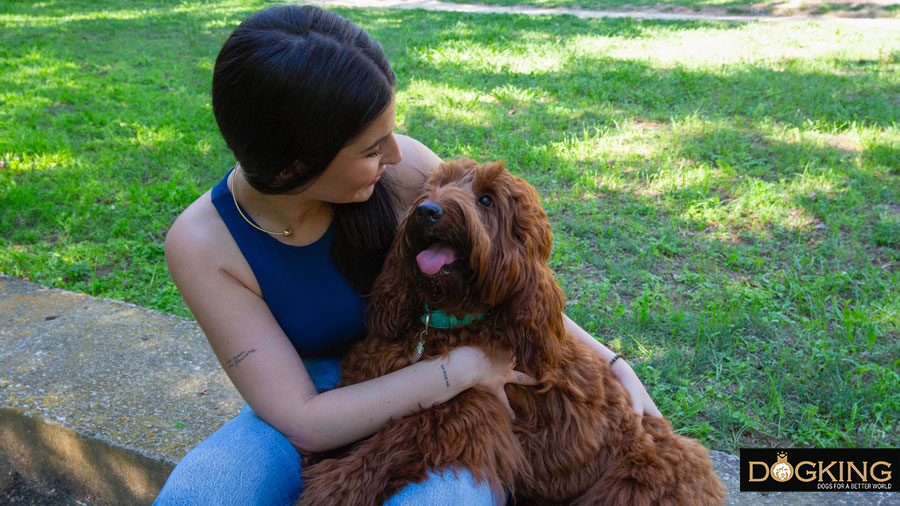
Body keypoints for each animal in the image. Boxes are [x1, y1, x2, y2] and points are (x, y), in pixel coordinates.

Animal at [298, 159, 728, 506]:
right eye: (435, 185)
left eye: (487, 200)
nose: (427, 211)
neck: (450, 322)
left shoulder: (464, 415)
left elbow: (388, 446)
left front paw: (330, 489)